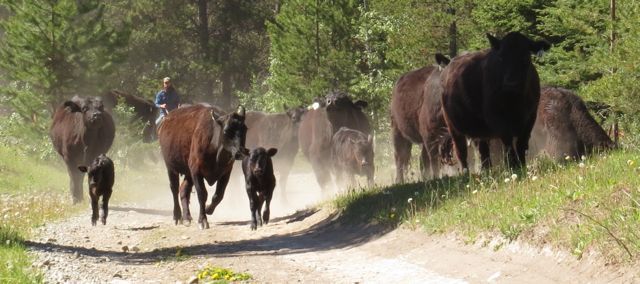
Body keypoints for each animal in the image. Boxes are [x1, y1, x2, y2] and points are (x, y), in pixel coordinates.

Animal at [390, 53, 456, 183]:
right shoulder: (430, 135)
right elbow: (434, 161)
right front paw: (437, 178)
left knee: (422, 159)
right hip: (398, 131)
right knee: (400, 157)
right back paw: (400, 180)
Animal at [440, 32, 552, 172]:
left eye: (525, 56)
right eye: (501, 57)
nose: (511, 83)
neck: (516, 101)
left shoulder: (530, 117)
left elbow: (521, 144)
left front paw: (522, 166)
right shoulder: (496, 118)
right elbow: (508, 144)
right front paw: (514, 166)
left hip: (480, 129)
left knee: (483, 151)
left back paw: (486, 170)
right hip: (453, 126)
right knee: (461, 151)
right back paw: (466, 172)